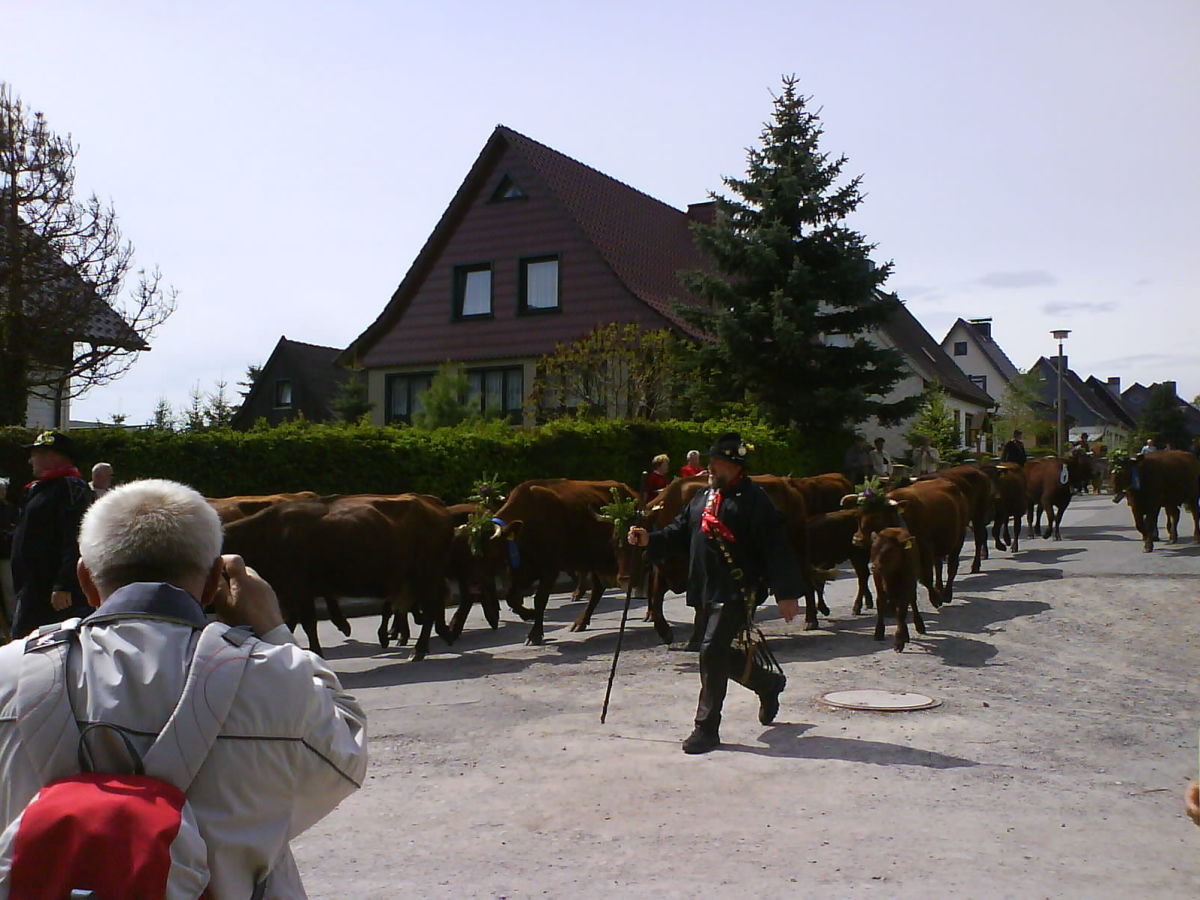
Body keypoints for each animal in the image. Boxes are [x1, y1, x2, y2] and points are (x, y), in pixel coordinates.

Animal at [849, 475, 969, 609]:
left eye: (877, 517)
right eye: (857, 516)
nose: (857, 540)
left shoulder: (925, 547)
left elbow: (926, 576)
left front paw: (935, 599)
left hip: (959, 539)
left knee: (952, 565)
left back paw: (947, 594)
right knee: (939, 566)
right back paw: (940, 589)